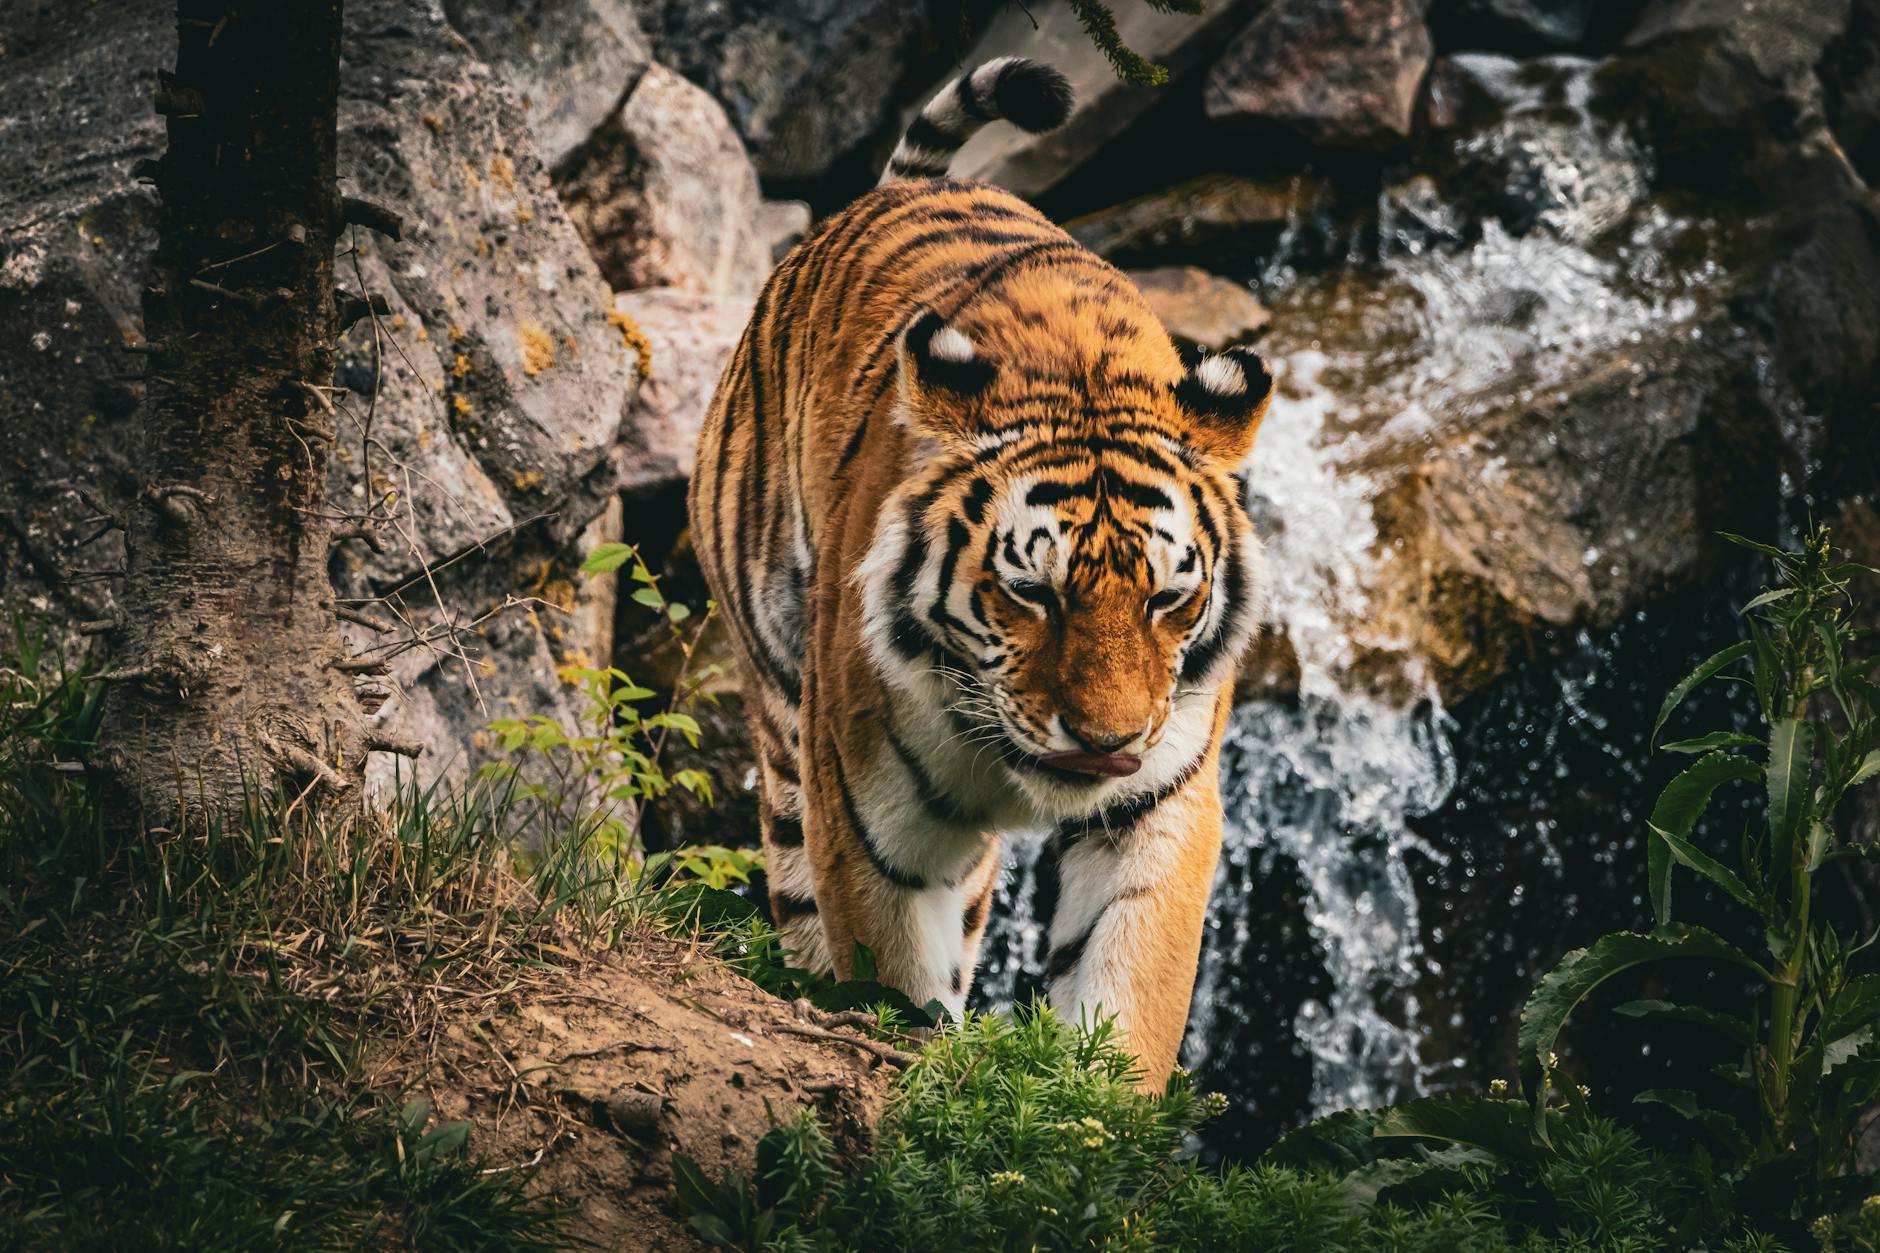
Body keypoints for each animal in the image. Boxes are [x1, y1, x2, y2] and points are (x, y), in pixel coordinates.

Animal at [688, 56, 1273, 1087]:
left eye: (1168, 598)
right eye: (1033, 593)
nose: (1103, 739)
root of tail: (897, 193)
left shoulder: (1160, 802)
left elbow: (1127, 994)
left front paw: (1099, 1112)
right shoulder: (870, 813)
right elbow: (897, 979)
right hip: (781, 709)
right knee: (799, 894)